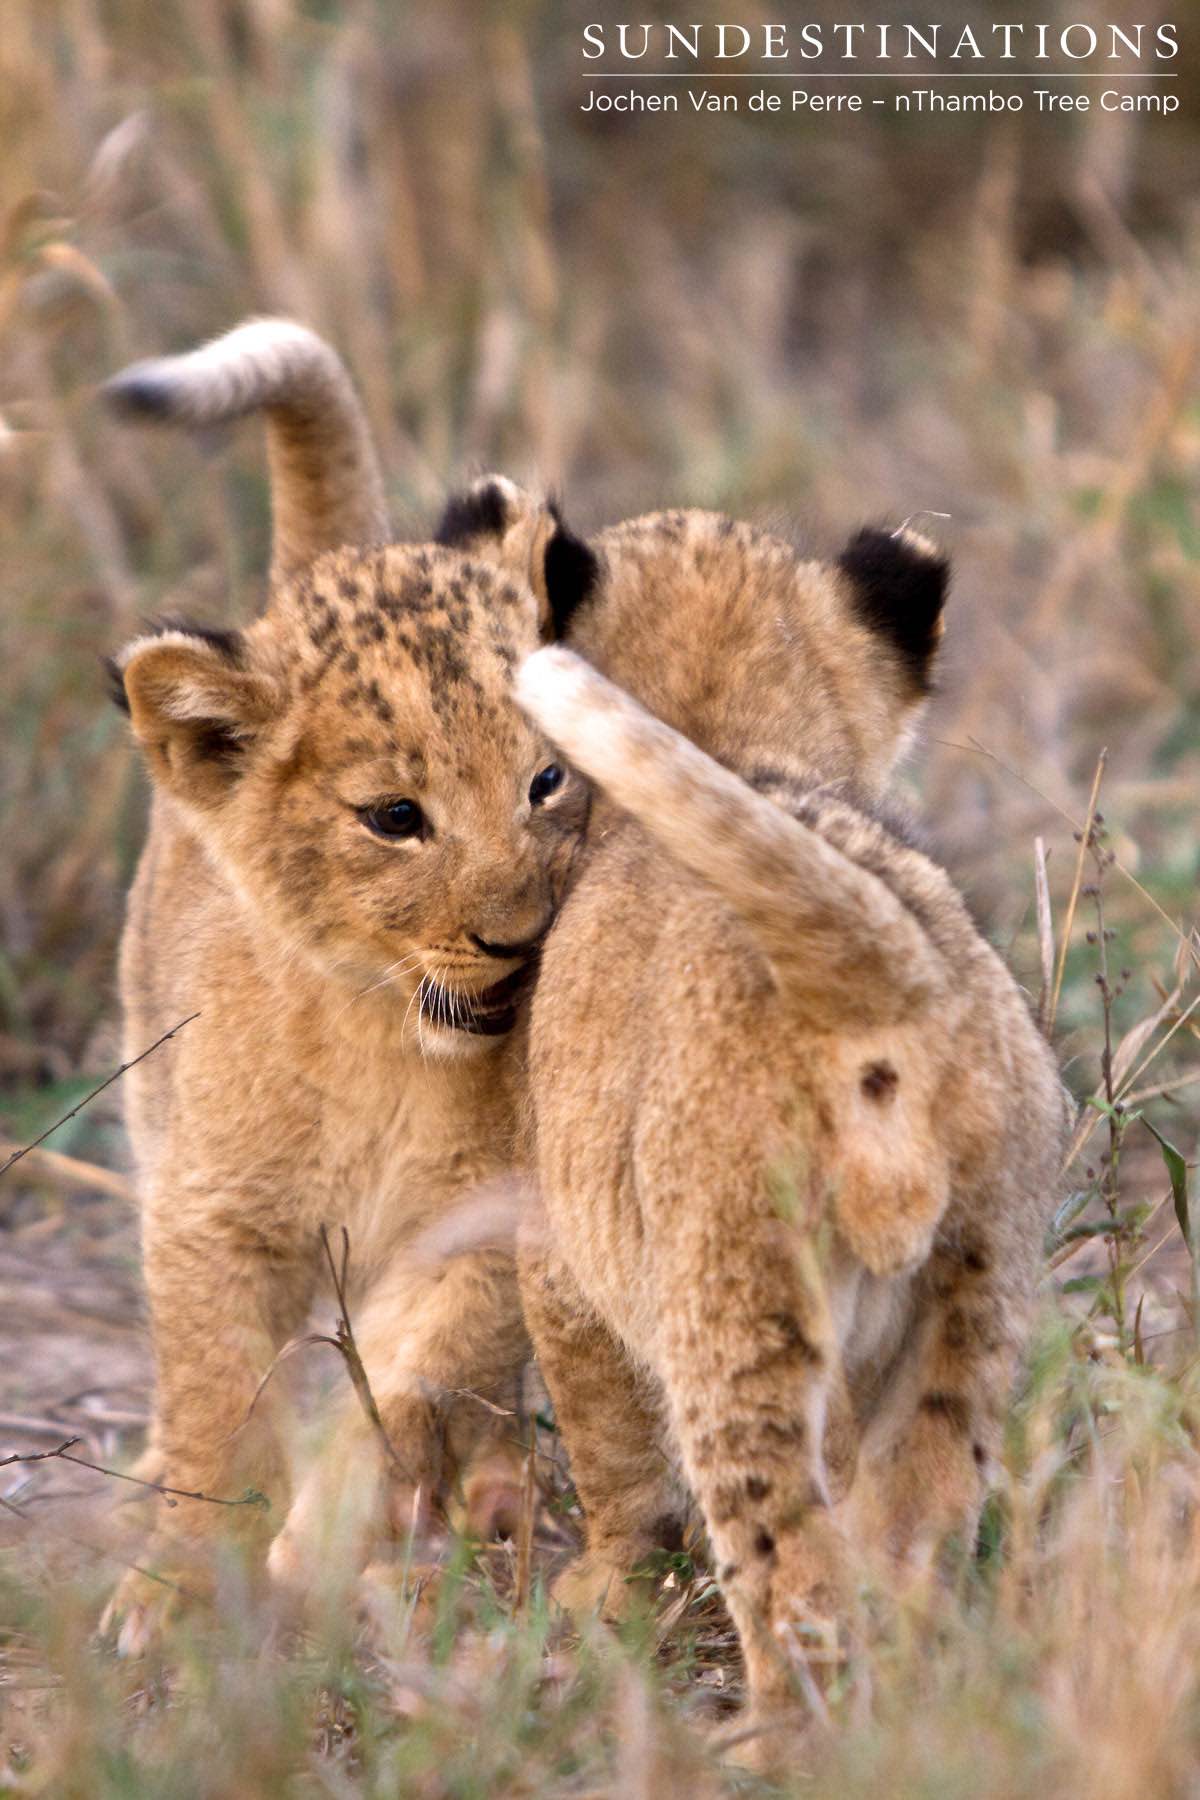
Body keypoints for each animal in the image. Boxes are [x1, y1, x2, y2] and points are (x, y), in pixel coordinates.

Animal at [97, 321, 596, 1652]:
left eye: (547, 781)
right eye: (394, 819)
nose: (522, 939)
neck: (384, 1040)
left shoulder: (490, 1219)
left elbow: (413, 1374)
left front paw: (318, 1541)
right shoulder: (213, 1215)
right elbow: (219, 1398)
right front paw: (174, 1587)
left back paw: (495, 1507)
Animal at [510, 512, 1070, 1753]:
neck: (736, 740)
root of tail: (877, 978)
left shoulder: (559, 1252)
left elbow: (606, 1445)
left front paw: (600, 1591)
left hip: (734, 1298)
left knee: (785, 1559)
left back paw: (772, 1737)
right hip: (975, 1294)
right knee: (915, 1530)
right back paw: (910, 1700)